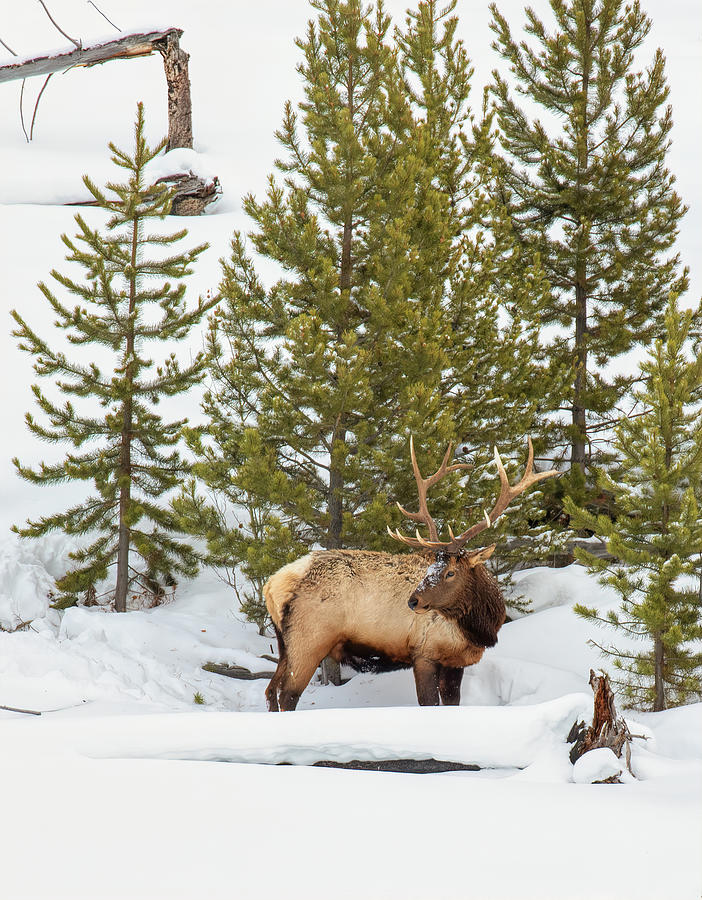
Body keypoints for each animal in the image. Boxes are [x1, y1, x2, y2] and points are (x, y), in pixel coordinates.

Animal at [262, 438, 560, 712]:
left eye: (450, 572)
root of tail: (272, 585)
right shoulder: (424, 653)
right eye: (431, 568)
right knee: (288, 695)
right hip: (309, 640)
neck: (478, 628)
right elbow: (428, 703)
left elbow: (452, 703)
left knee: (270, 690)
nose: (413, 600)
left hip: (285, 643)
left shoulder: (455, 662)